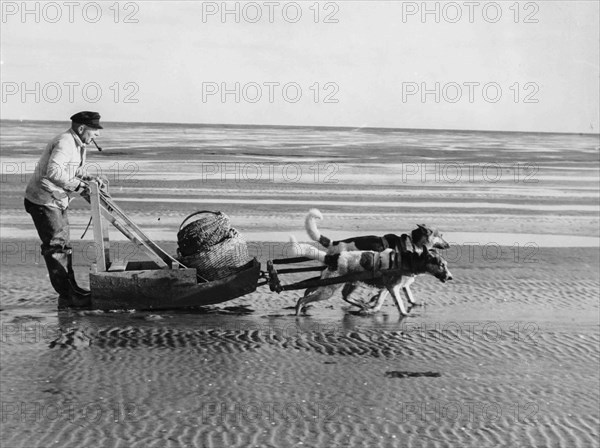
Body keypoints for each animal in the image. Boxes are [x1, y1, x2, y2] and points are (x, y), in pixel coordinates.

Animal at [288, 236, 452, 316]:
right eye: (441, 265)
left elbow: (380, 300)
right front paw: (405, 314)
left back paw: (362, 306)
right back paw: (298, 313)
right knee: (303, 299)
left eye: (445, 264)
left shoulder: (388, 287)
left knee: (344, 296)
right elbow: (399, 304)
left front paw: (372, 309)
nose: (450, 277)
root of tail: (333, 257)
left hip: (350, 283)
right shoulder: (393, 287)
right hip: (329, 289)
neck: (409, 261)